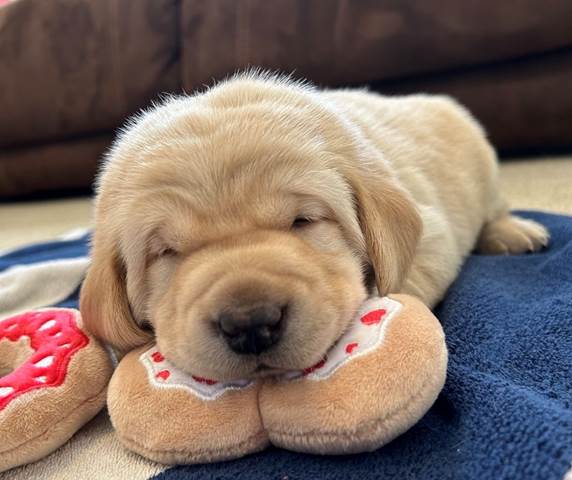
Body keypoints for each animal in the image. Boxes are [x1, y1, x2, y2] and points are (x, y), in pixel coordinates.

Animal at [80, 71, 548, 380]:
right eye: (166, 253)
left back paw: (515, 233)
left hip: (483, 162)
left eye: (302, 221)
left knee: (494, 209)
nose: (250, 324)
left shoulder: (432, 235)